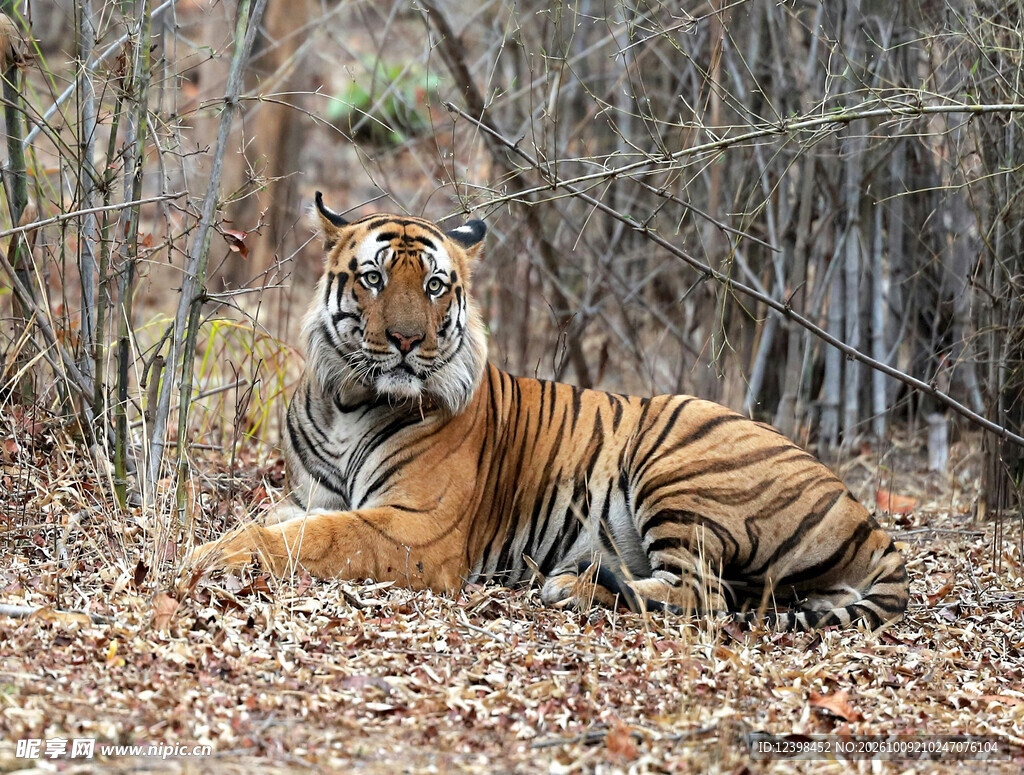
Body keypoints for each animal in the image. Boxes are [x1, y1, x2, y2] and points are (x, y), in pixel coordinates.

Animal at [190, 192, 909, 631]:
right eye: (373, 278)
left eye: (435, 285)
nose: (406, 340)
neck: (349, 398)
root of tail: (870, 522)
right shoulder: (309, 496)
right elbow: (280, 521)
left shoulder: (415, 526)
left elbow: (318, 538)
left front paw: (213, 555)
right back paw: (582, 582)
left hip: (680, 461)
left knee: (704, 595)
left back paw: (574, 587)